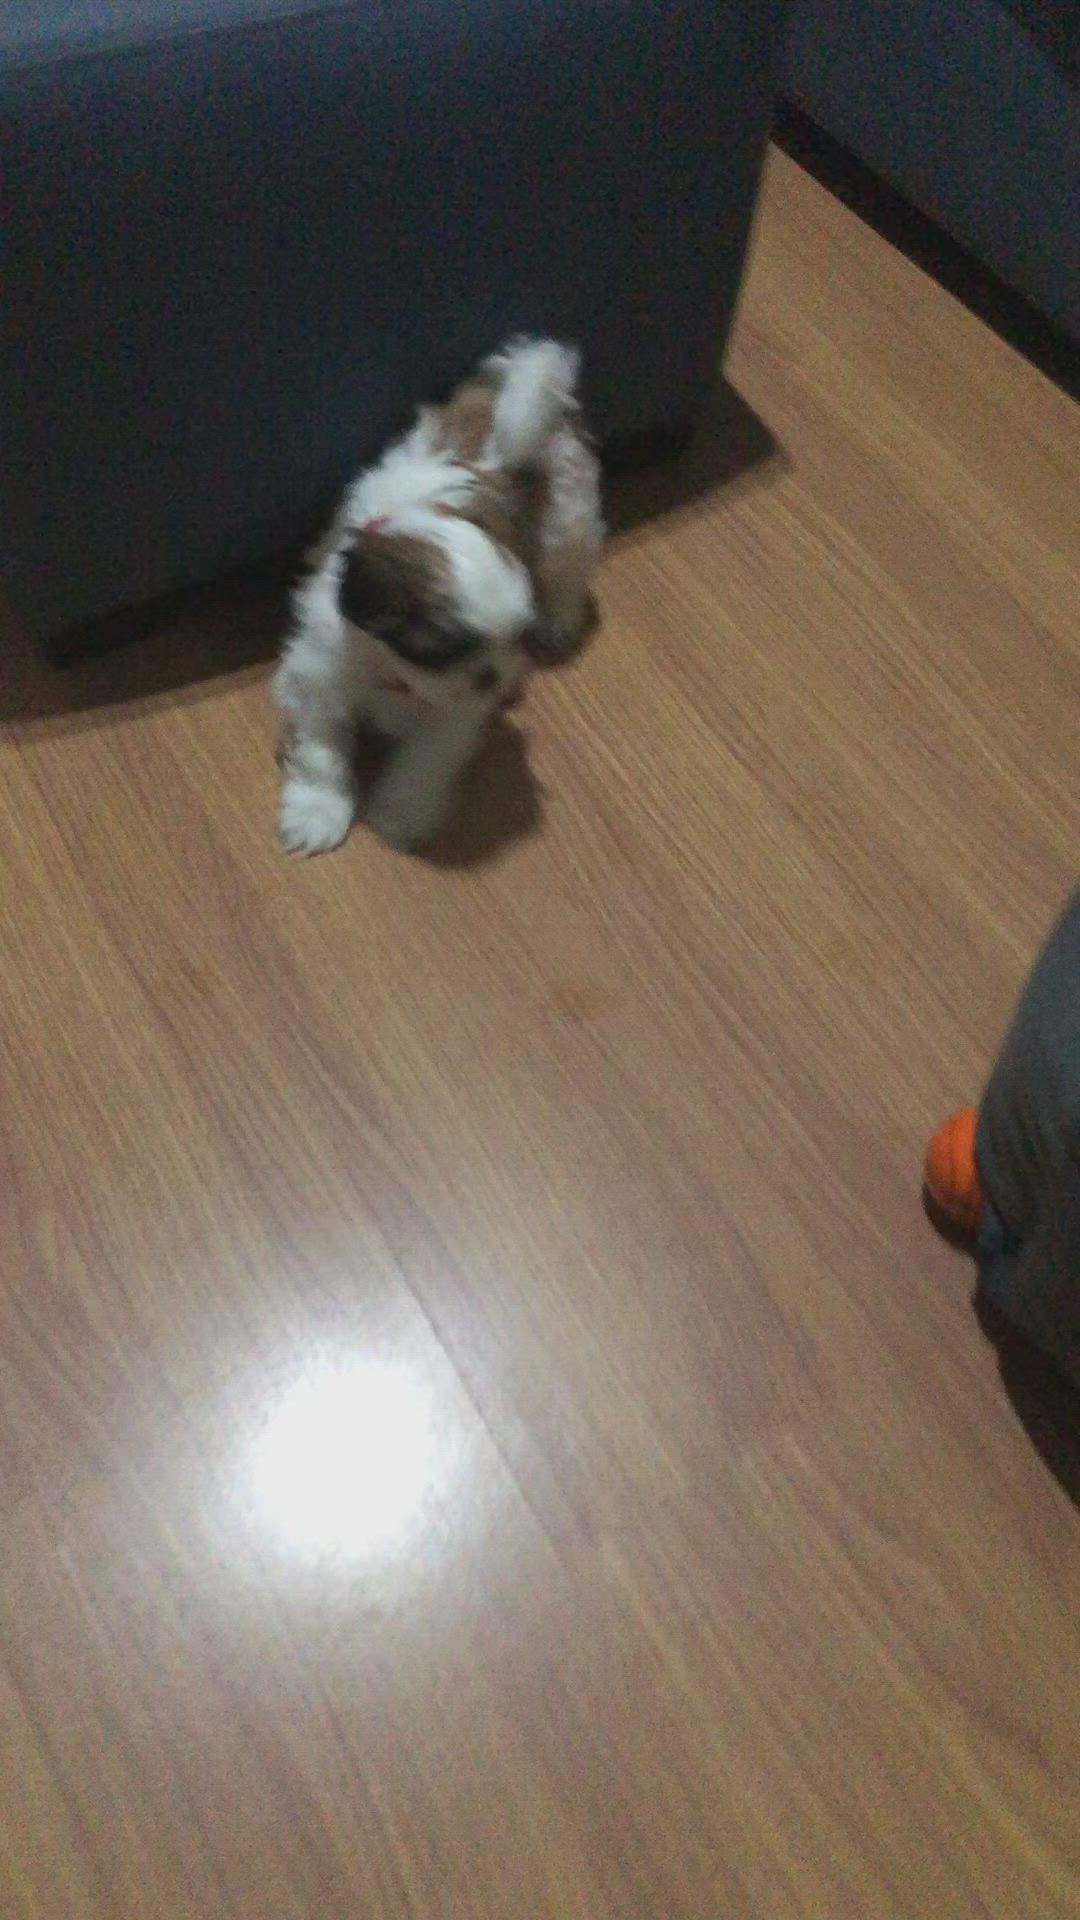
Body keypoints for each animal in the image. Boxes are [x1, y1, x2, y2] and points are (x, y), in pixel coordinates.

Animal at [272, 337, 599, 856]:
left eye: (511, 638)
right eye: (442, 650)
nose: (493, 677)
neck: (392, 675)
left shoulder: (453, 716)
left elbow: (425, 761)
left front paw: (400, 812)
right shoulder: (317, 680)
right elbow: (322, 753)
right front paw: (318, 812)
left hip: (568, 516)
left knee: (568, 566)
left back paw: (561, 618)